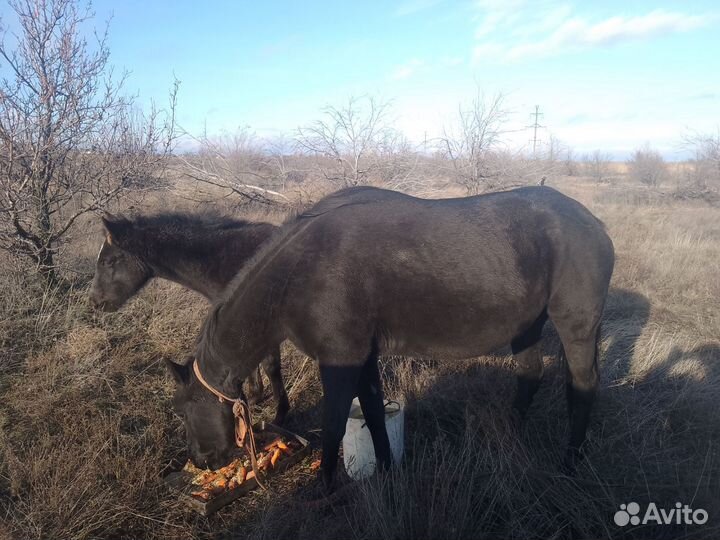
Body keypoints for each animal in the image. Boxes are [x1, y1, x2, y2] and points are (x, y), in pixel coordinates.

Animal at [165, 186, 615, 490]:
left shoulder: (339, 361)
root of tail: (595, 224)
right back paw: (510, 434)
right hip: (527, 327)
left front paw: (324, 487)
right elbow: (373, 413)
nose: (202, 460)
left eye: (184, 410)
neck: (297, 276)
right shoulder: (360, 358)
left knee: (582, 387)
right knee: (530, 375)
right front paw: (385, 469)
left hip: (576, 327)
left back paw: (570, 461)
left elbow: (333, 424)